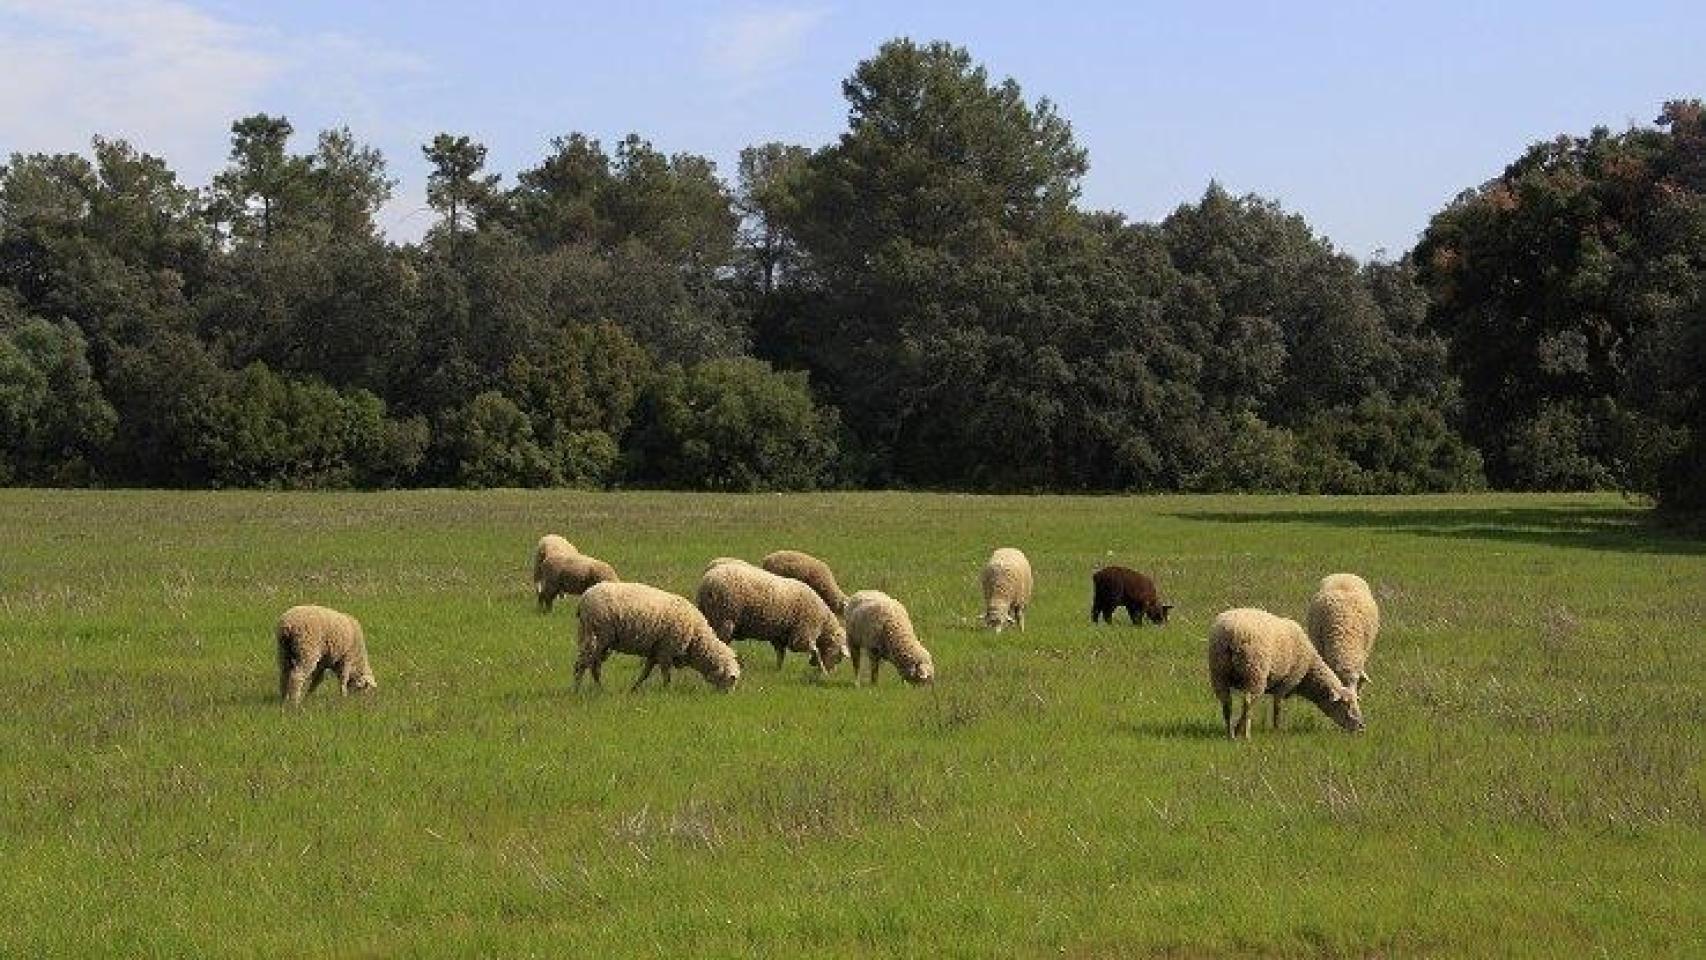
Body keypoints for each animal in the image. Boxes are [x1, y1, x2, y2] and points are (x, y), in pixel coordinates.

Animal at [574, 581, 740, 692]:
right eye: (730, 681)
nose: (726, 696)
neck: (696, 637)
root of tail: (584, 599)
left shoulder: (655, 651)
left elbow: (645, 673)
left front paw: (634, 689)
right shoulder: (666, 651)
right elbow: (666, 675)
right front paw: (667, 691)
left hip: (596, 639)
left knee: (594, 666)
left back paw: (600, 689)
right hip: (597, 636)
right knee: (582, 664)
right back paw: (576, 690)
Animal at [696, 560, 849, 675]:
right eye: (838, 657)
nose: (833, 672)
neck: (823, 623)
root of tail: (707, 581)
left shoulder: (780, 636)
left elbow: (781, 654)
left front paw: (778, 671)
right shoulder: (802, 635)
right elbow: (815, 650)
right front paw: (824, 671)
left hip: (710, 616)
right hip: (724, 619)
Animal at [1207, 607, 1364, 740]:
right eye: (1346, 704)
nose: (1362, 726)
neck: (1308, 671)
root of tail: (1231, 633)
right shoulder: (1285, 684)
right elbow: (1278, 708)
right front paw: (1277, 730)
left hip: (1219, 673)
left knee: (1227, 703)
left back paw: (1230, 734)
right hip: (1254, 671)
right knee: (1248, 702)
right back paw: (1245, 734)